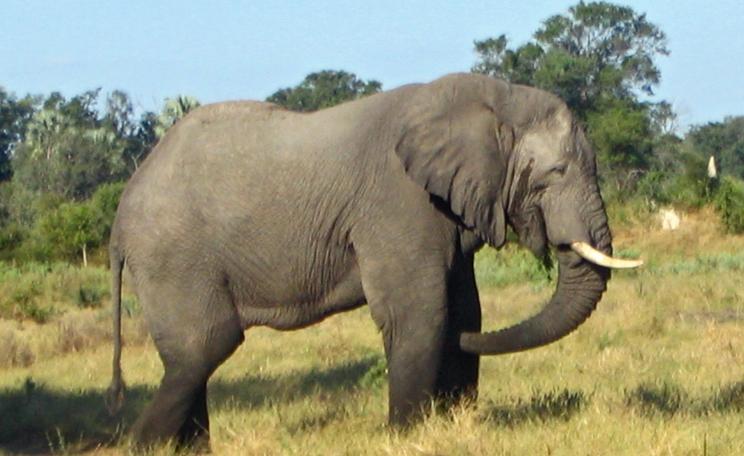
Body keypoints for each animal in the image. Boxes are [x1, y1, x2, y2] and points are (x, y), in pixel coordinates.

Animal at [106, 73, 641, 448]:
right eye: (556, 172)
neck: (491, 97)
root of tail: (118, 221)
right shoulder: (397, 202)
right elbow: (421, 314)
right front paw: (406, 436)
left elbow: (464, 310)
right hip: (174, 257)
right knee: (204, 348)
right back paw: (143, 446)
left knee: (192, 358)